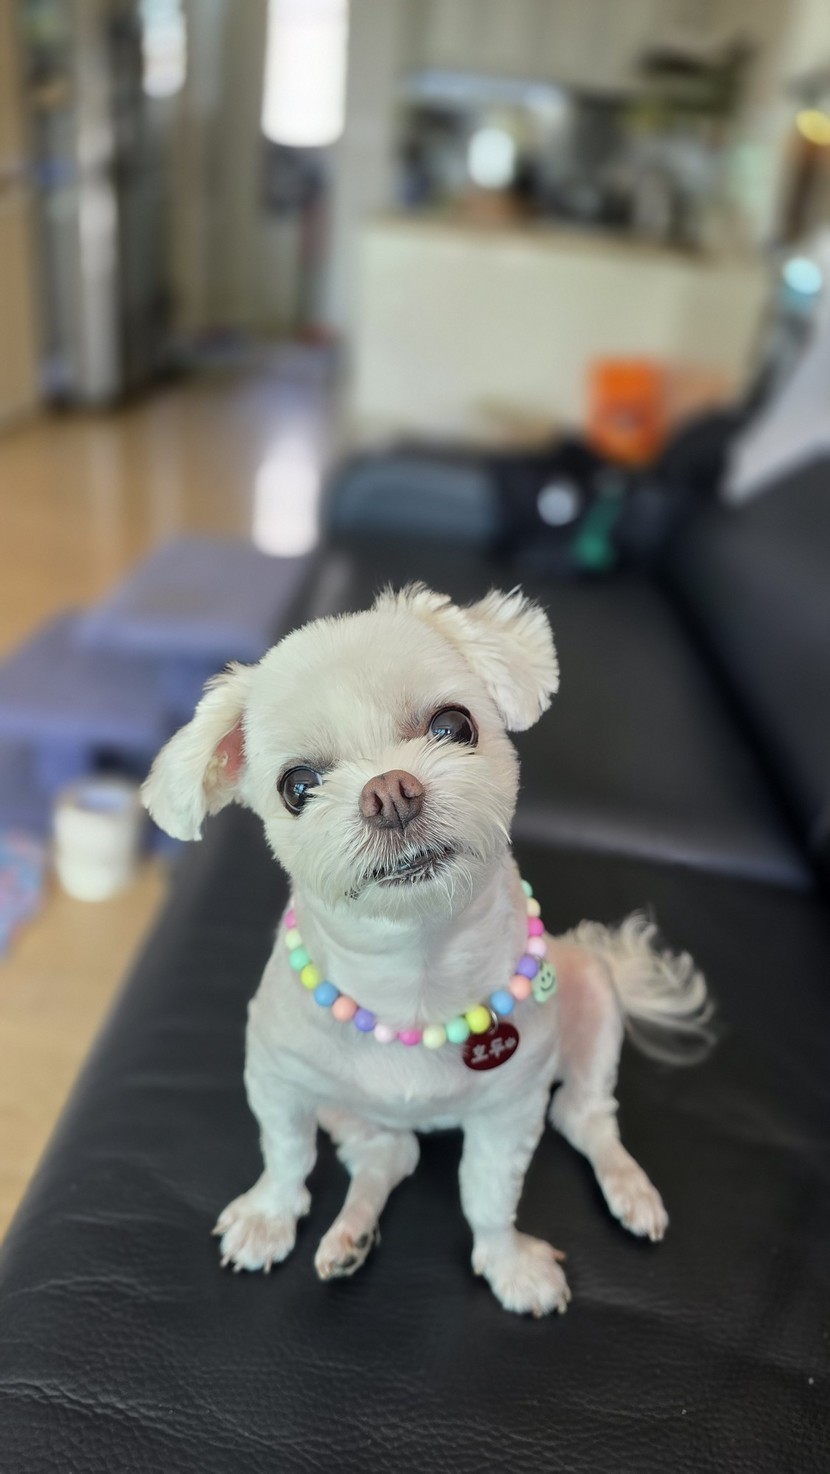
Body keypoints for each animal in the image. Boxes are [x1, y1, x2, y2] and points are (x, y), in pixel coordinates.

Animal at [143, 584, 711, 1316]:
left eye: (452, 726)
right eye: (297, 786)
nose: (389, 792)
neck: (413, 977)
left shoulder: (509, 1111)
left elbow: (489, 1191)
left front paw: (508, 1263)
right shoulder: (277, 1076)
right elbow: (287, 1153)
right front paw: (269, 1217)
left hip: (591, 995)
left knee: (584, 1115)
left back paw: (629, 1189)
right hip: (348, 1107)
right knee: (388, 1157)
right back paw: (350, 1235)